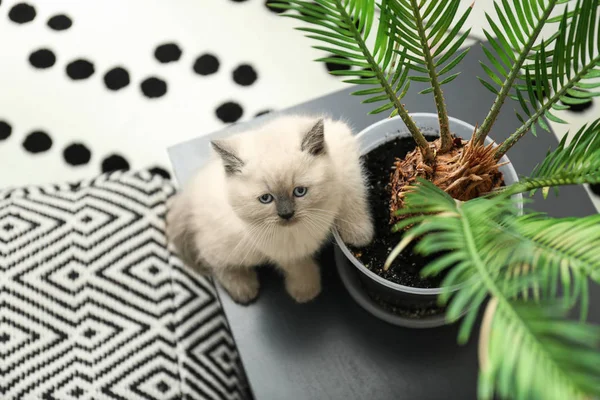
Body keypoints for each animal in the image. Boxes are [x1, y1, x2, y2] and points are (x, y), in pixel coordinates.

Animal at [166, 115, 372, 304]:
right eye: (266, 199)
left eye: (300, 191)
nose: (286, 214)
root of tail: (191, 191)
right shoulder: (281, 245)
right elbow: (297, 265)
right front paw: (306, 291)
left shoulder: (345, 158)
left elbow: (351, 197)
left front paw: (360, 236)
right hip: (234, 247)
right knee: (211, 259)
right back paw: (243, 289)